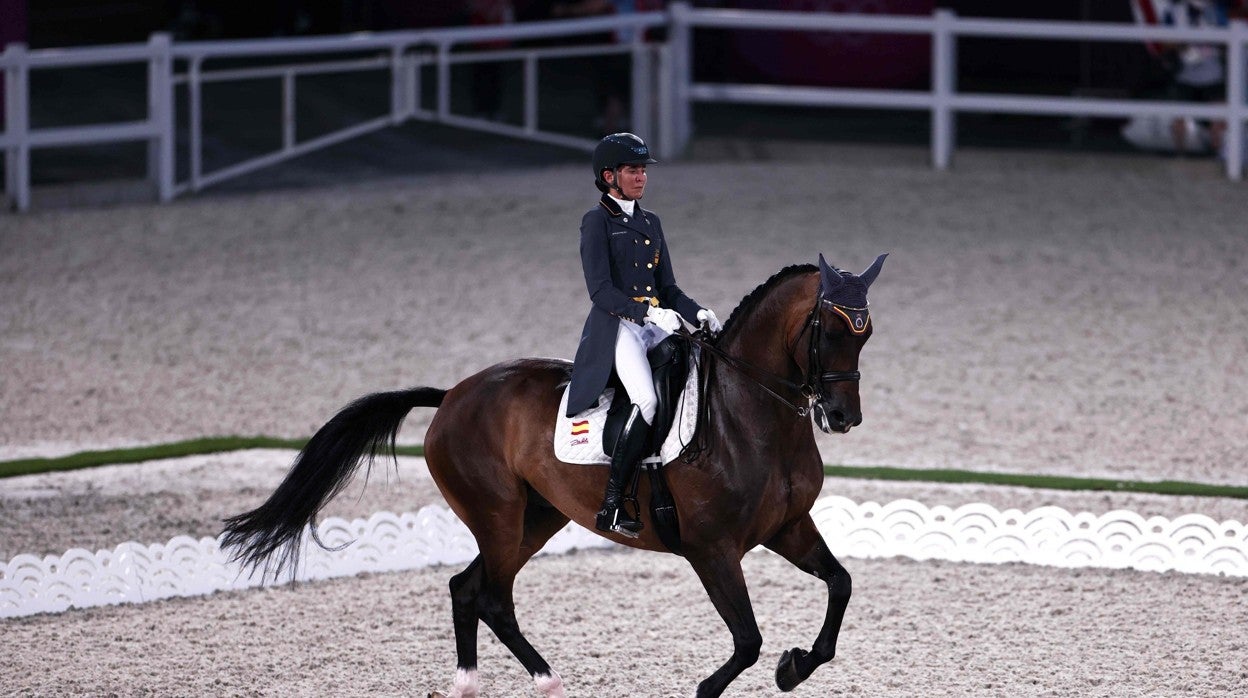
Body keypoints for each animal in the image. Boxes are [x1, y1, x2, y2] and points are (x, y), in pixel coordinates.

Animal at [222, 253, 888, 694]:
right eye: (829, 329)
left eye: (867, 333)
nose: (842, 417)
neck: (748, 416)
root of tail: (453, 395)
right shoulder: (713, 549)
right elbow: (747, 640)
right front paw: (721, 684)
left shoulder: (787, 527)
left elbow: (841, 585)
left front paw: (794, 666)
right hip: (498, 514)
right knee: (491, 594)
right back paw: (541, 679)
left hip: (535, 517)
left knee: (469, 588)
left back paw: (480, 683)